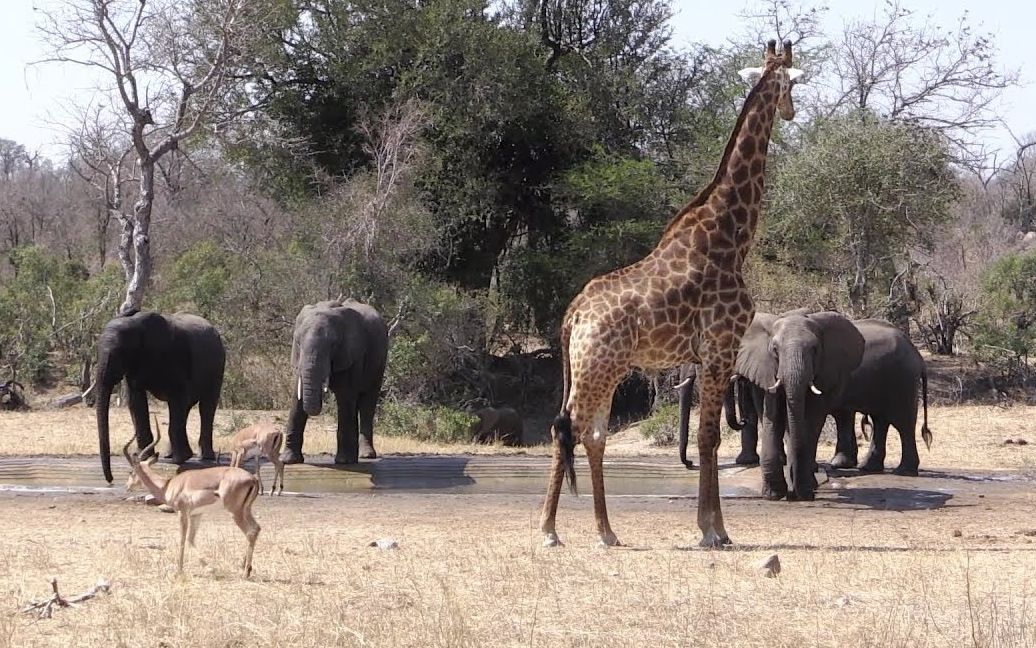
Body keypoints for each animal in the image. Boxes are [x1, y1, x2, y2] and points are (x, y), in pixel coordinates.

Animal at [93, 311, 224, 483]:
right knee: (186, 408)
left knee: (206, 407)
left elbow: (177, 398)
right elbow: (136, 401)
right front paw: (144, 457)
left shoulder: (175, 356)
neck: (136, 324)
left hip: (218, 366)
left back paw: (204, 457)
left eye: (120, 352)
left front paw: (180, 460)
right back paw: (170, 455)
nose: (111, 480)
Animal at [279, 298, 389, 464]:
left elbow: (345, 396)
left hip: (379, 363)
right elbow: (297, 398)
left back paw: (366, 455)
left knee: (367, 403)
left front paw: (344, 461)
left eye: (333, 345)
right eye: (297, 343)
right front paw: (288, 460)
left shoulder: (352, 353)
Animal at [538, 39, 803, 547]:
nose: (792, 111)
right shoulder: (721, 347)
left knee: (592, 434)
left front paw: (713, 528)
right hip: (597, 368)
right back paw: (548, 530)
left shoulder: (707, 354)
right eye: (793, 84)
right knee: (566, 427)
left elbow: (707, 437)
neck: (730, 237)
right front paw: (713, 531)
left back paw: (607, 532)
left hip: (603, 370)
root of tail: (573, 313)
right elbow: (708, 438)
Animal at [737, 308, 866, 499]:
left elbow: (811, 421)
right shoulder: (769, 370)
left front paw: (804, 492)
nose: (794, 493)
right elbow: (773, 417)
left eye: (815, 349)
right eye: (774, 349)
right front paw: (773, 495)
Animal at [824, 319, 932, 474]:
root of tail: (918, 356)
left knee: (902, 424)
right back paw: (866, 467)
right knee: (879, 420)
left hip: (902, 380)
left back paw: (903, 471)